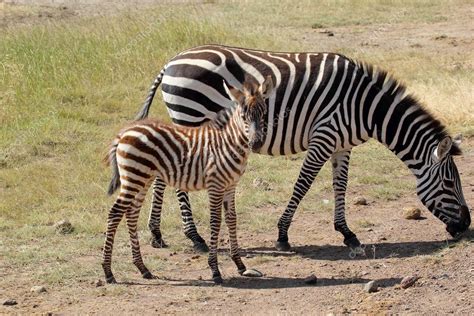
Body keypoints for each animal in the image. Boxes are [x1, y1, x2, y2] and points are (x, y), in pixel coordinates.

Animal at [103, 74, 274, 284]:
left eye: (263, 114)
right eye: (244, 117)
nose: (256, 143)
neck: (227, 143)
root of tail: (124, 133)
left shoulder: (231, 185)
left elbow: (232, 219)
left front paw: (240, 265)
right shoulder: (215, 185)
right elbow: (215, 221)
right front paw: (215, 270)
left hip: (142, 179)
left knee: (131, 214)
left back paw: (143, 269)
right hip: (134, 177)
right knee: (115, 213)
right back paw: (108, 272)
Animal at [136, 44, 470, 253]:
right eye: (450, 183)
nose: (467, 226)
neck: (365, 108)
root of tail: (172, 61)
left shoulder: (341, 145)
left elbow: (340, 185)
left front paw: (346, 232)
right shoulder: (324, 136)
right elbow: (304, 184)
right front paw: (283, 235)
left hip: (185, 119)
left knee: (163, 173)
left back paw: (157, 233)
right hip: (190, 116)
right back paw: (194, 237)